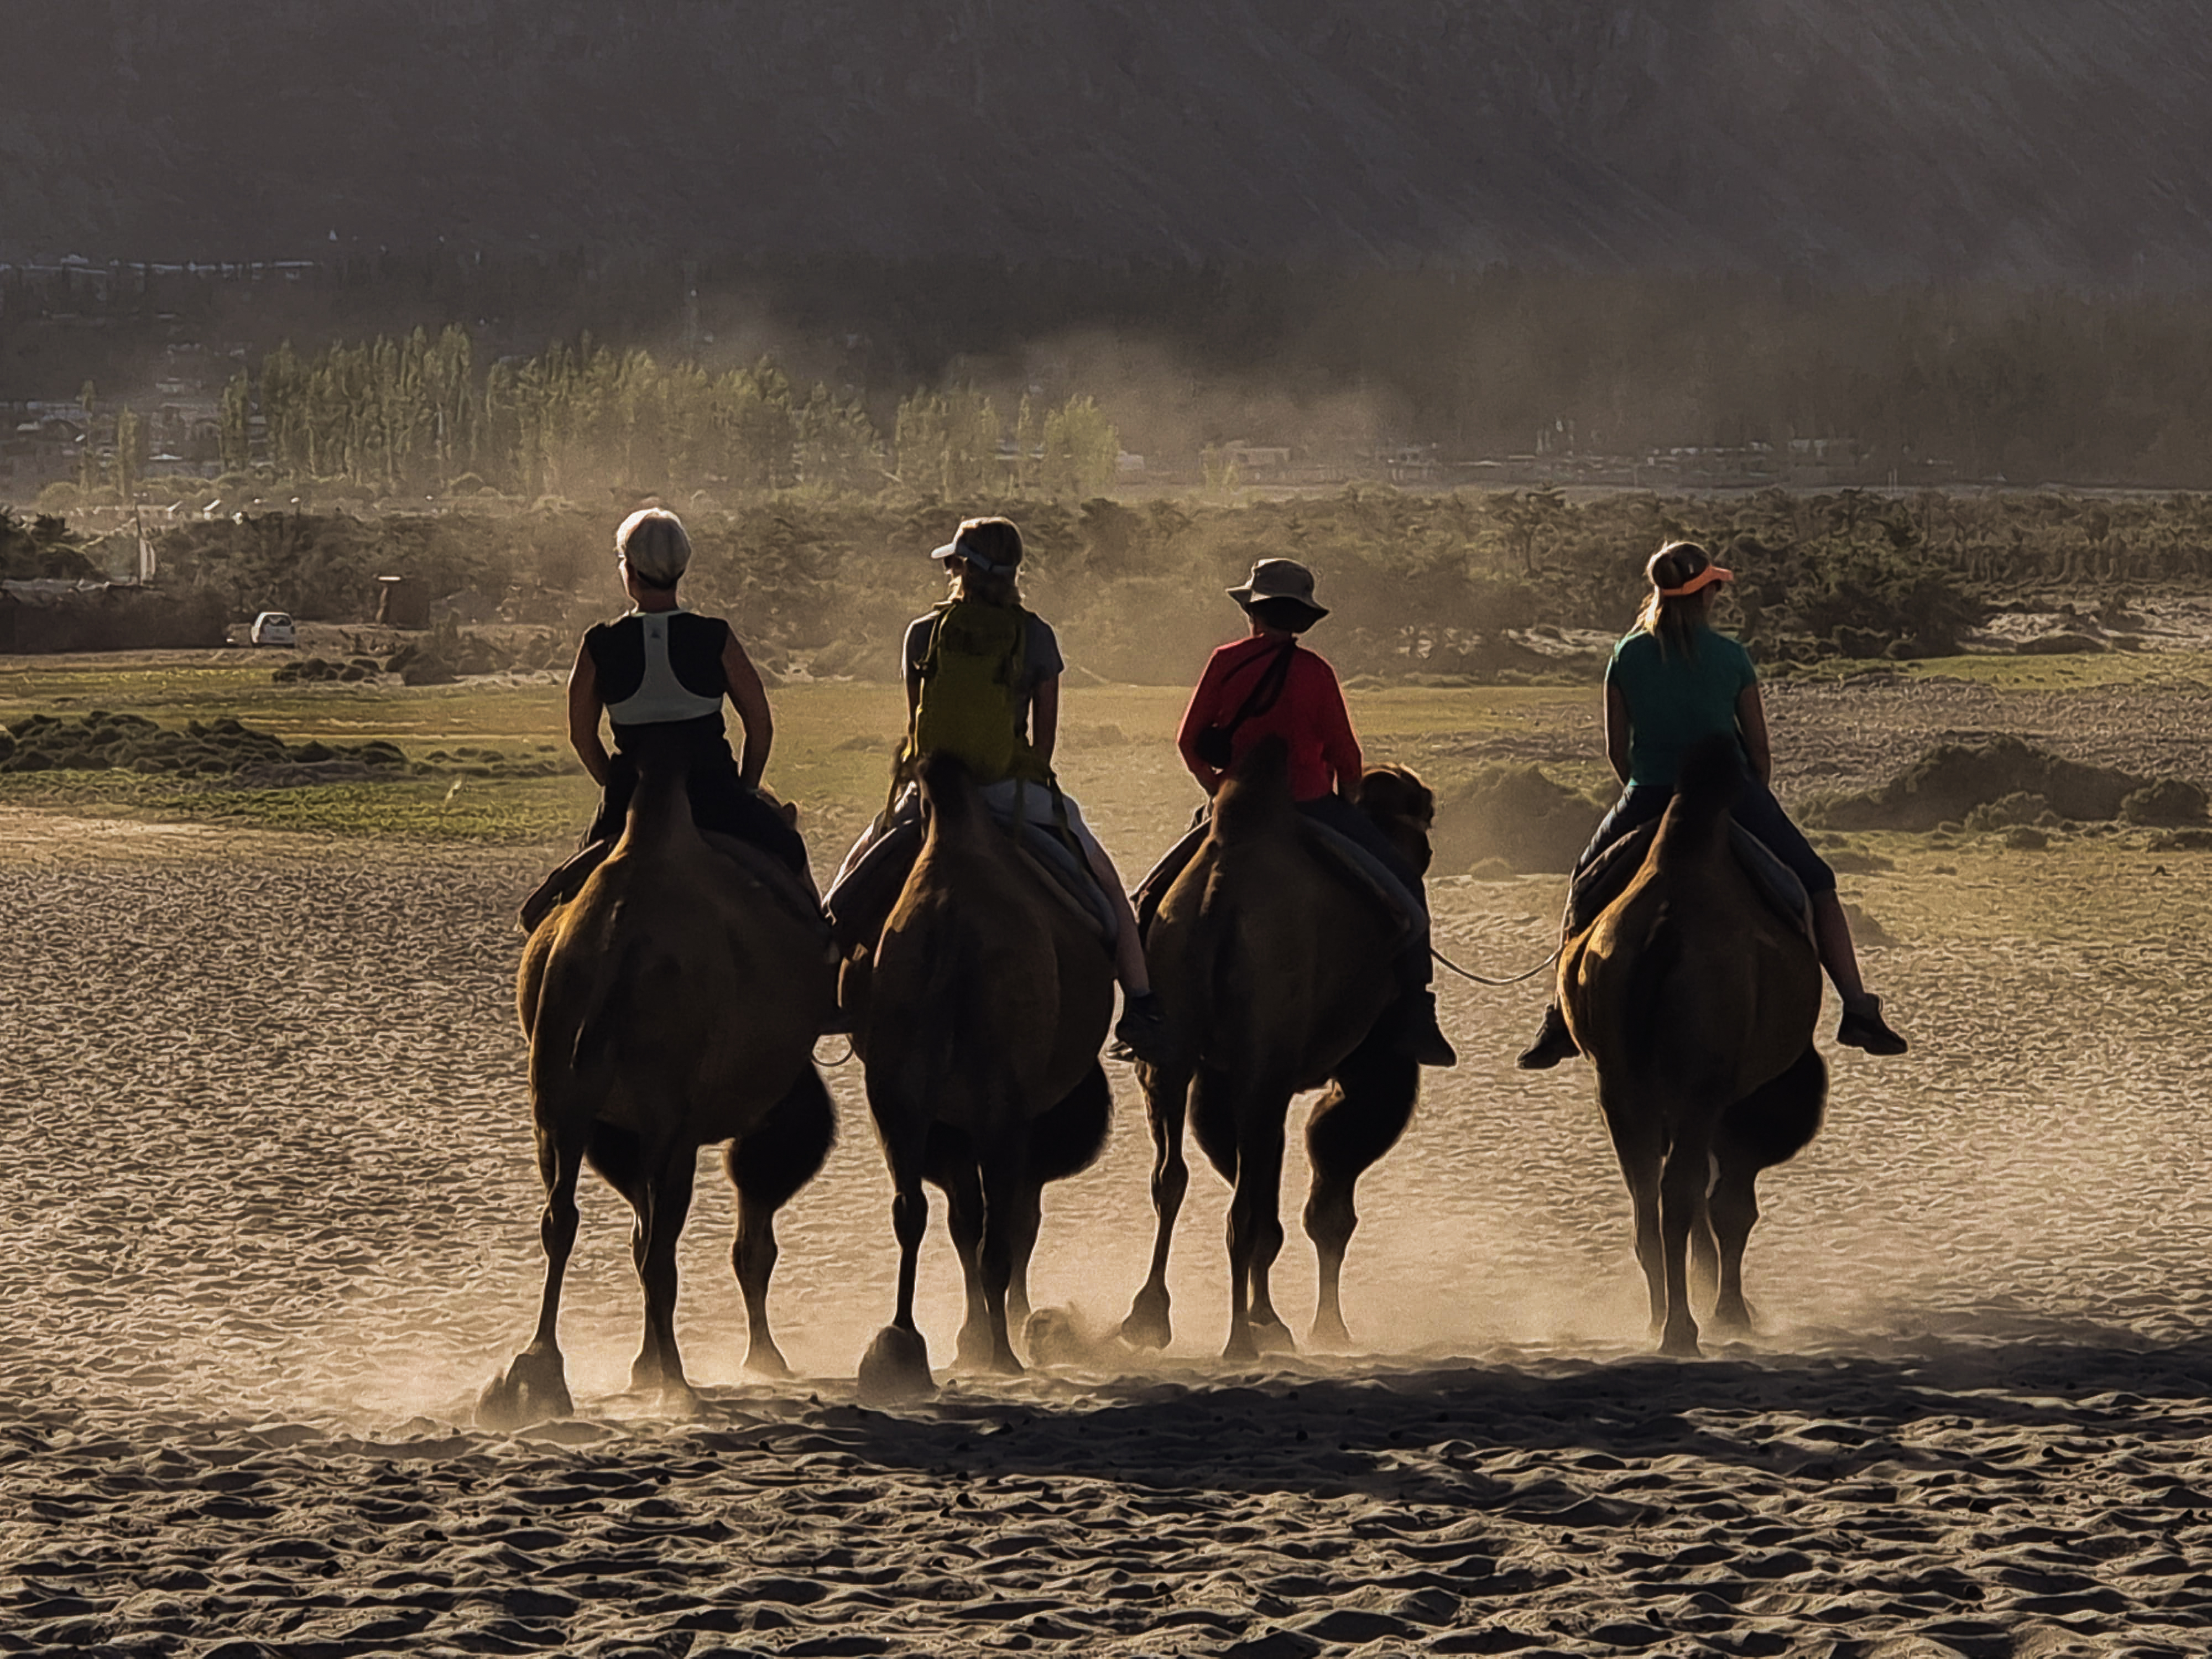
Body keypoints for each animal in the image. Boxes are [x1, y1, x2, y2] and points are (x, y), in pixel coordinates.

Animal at [480, 726, 832, 1433]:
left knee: (562, 1217)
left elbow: (639, 1227)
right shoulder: (739, 1110)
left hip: (557, 1099)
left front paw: (642, 1365)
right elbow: (736, 1230)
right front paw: (756, 1357)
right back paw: (673, 1378)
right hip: (668, 1116)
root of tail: (617, 938)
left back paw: (534, 1374)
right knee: (662, 1242)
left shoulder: (618, 1122)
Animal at [854, 757, 1115, 1407]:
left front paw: (967, 1338)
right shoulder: (1010, 1120)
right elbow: (1001, 1222)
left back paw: (898, 1347)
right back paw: (1002, 1353)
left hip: (898, 1093)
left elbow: (963, 1221)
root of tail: (949, 921)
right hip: (1000, 1101)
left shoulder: (946, 1124)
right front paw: (989, 1335)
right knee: (996, 1228)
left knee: (910, 1208)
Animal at [1124, 739, 1433, 1363]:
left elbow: (1258, 1181)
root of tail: (1219, 900)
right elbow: (1328, 1199)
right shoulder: (1373, 1065)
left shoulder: (1225, 1075)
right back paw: (1236, 1341)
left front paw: (1273, 1321)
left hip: (1172, 1046)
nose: (1427, 853)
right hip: (1266, 1053)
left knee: (1174, 1177)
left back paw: (1149, 1316)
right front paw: (1326, 1328)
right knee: (1247, 1205)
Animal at [1575, 743, 1832, 1363]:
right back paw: (1681, 1330)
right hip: (1698, 1090)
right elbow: (1730, 1207)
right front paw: (1734, 1312)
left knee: (1646, 1197)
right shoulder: (1731, 1105)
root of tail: (1663, 931)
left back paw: (1657, 1321)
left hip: (1619, 1088)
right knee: (1682, 1195)